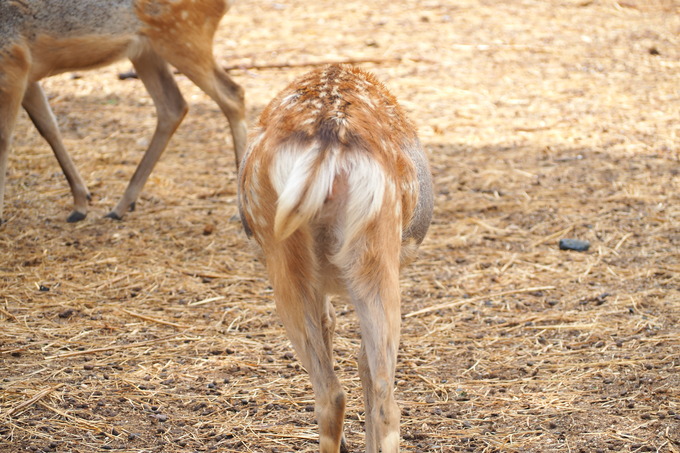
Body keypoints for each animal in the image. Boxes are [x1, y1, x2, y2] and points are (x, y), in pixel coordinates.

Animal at [0, 0, 247, 223]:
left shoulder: (13, 60)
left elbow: (5, 138)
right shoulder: (28, 73)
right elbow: (48, 126)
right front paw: (81, 202)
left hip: (184, 36)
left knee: (232, 94)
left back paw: (238, 211)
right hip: (147, 50)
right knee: (173, 106)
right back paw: (120, 207)